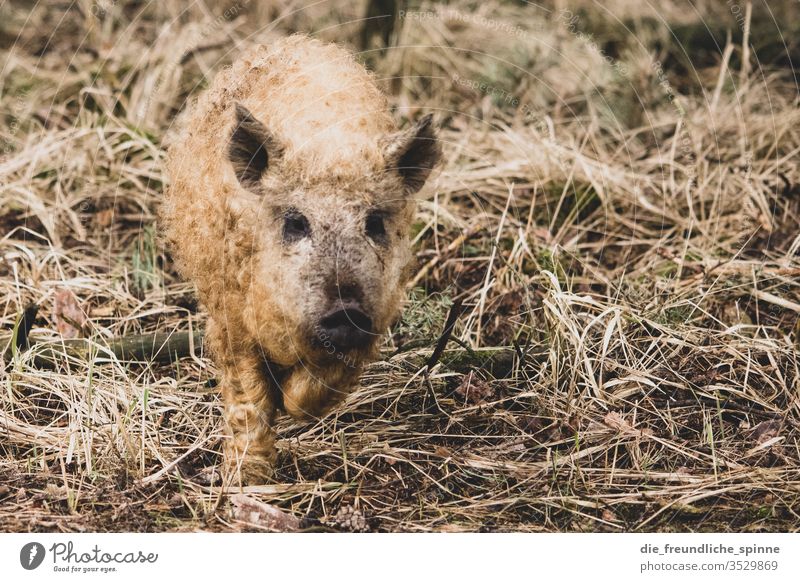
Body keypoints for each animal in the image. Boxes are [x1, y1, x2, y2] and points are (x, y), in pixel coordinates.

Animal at [160, 34, 440, 486]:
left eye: (375, 222)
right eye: (295, 222)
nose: (345, 309)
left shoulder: (371, 324)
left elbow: (315, 390)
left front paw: (289, 407)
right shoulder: (230, 318)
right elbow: (248, 398)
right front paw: (246, 482)